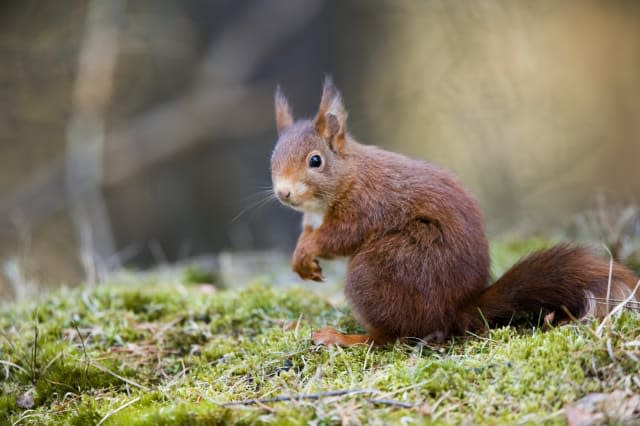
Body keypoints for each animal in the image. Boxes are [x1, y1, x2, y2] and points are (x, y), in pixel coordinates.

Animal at [272, 76, 640, 344]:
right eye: (273, 156)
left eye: (315, 161)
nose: (283, 193)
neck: (347, 176)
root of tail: (454, 311)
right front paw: (300, 257)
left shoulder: (365, 205)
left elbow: (340, 237)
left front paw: (308, 250)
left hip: (380, 271)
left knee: (390, 337)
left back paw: (345, 337)